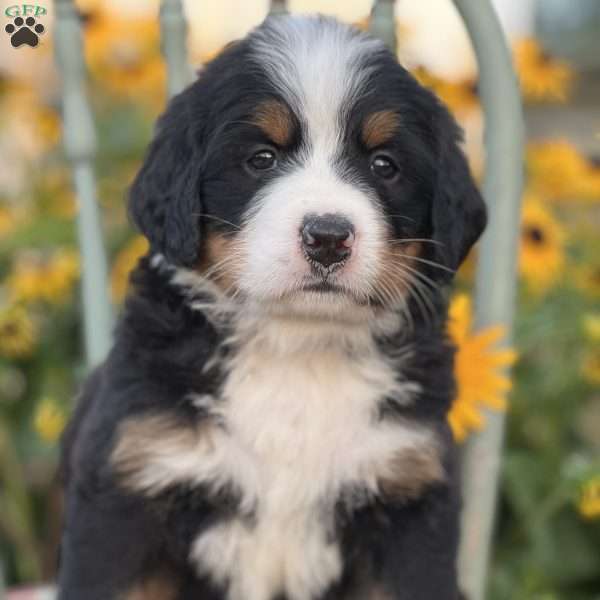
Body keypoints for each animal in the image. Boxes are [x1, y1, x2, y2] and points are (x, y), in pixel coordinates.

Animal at [57, 14, 488, 600]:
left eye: (384, 165)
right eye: (261, 159)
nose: (327, 237)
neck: (297, 350)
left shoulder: (407, 500)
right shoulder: (128, 493)